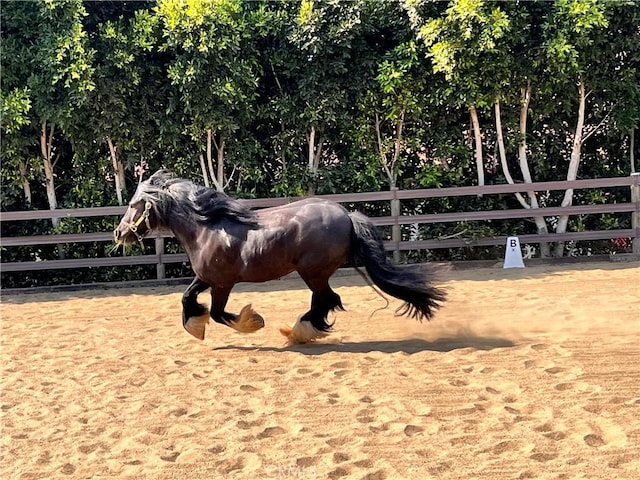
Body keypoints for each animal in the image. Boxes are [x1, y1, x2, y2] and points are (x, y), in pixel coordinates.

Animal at [115, 171, 444, 344]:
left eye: (133, 204)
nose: (119, 233)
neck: (207, 228)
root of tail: (347, 215)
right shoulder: (206, 277)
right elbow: (187, 298)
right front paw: (197, 325)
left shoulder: (222, 283)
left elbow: (219, 313)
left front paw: (251, 322)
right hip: (314, 273)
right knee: (325, 300)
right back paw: (303, 331)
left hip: (313, 272)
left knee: (327, 299)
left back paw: (299, 332)